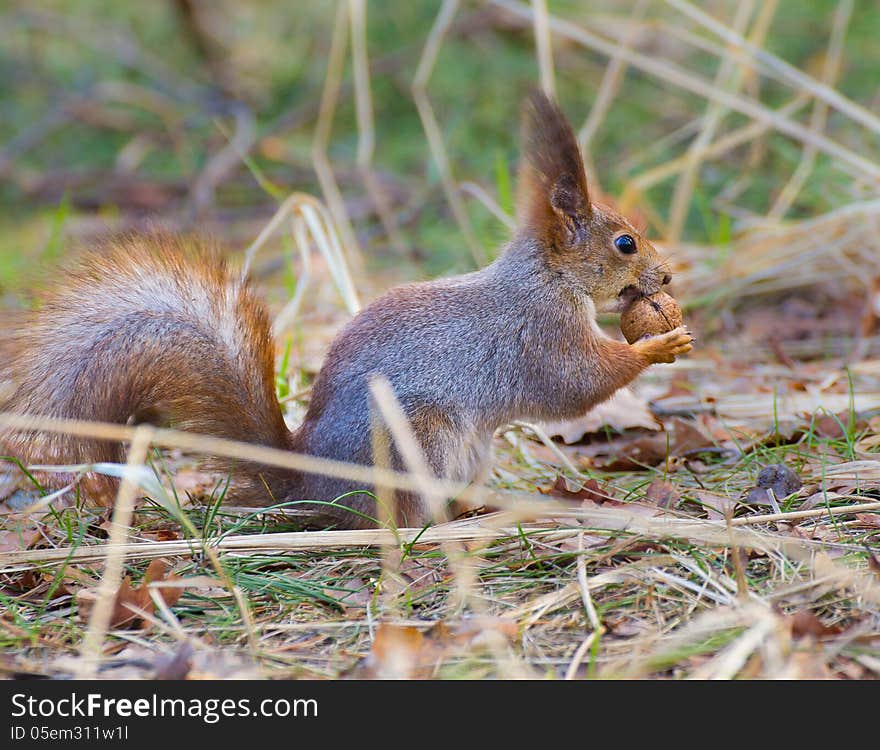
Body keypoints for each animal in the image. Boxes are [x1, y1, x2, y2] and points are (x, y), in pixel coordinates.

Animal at [0, 94, 692, 528]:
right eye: (625, 243)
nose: (666, 276)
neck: (544, 278)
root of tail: (308, 484)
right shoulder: (538, 334)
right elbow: (576, 384)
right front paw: (658, 345)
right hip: (417, 441)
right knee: (394, 519)